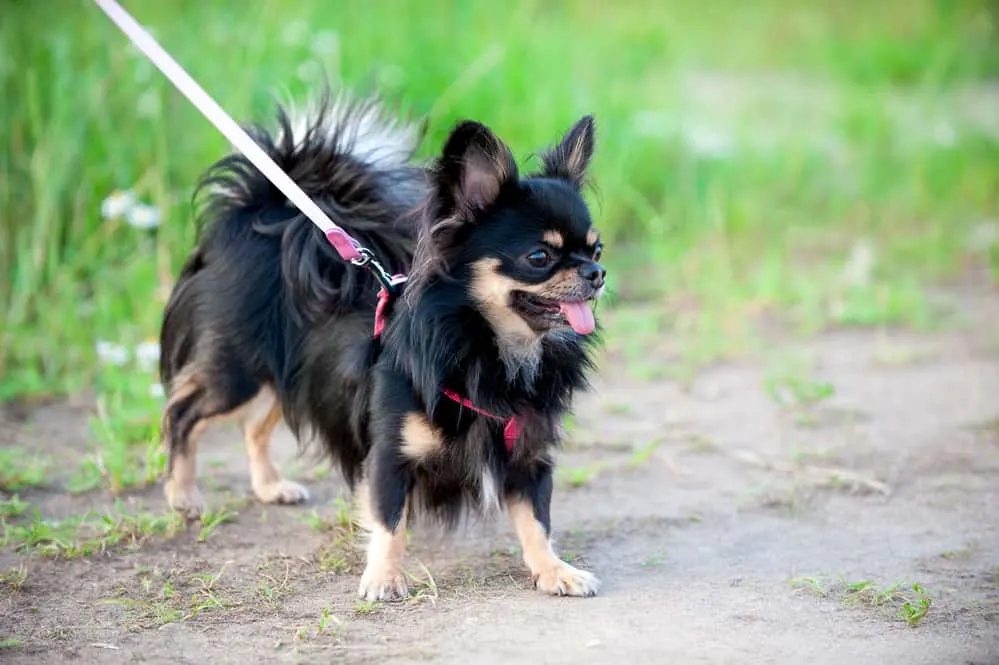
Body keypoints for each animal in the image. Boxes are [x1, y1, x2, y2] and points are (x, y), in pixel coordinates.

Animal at [160, 91, 604, 600]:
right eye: (539, 257)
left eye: (597, 249)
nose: (596, 273)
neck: (492, 349)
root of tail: (262, 215)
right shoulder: (390, 455)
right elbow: (389, 521)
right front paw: (384, 578)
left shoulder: (529, 458)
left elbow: (537, 522)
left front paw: (554, 570)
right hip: (238, 373)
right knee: (183, 412)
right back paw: (182, 495)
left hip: (291, 377)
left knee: (254, 426)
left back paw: (270, 486)